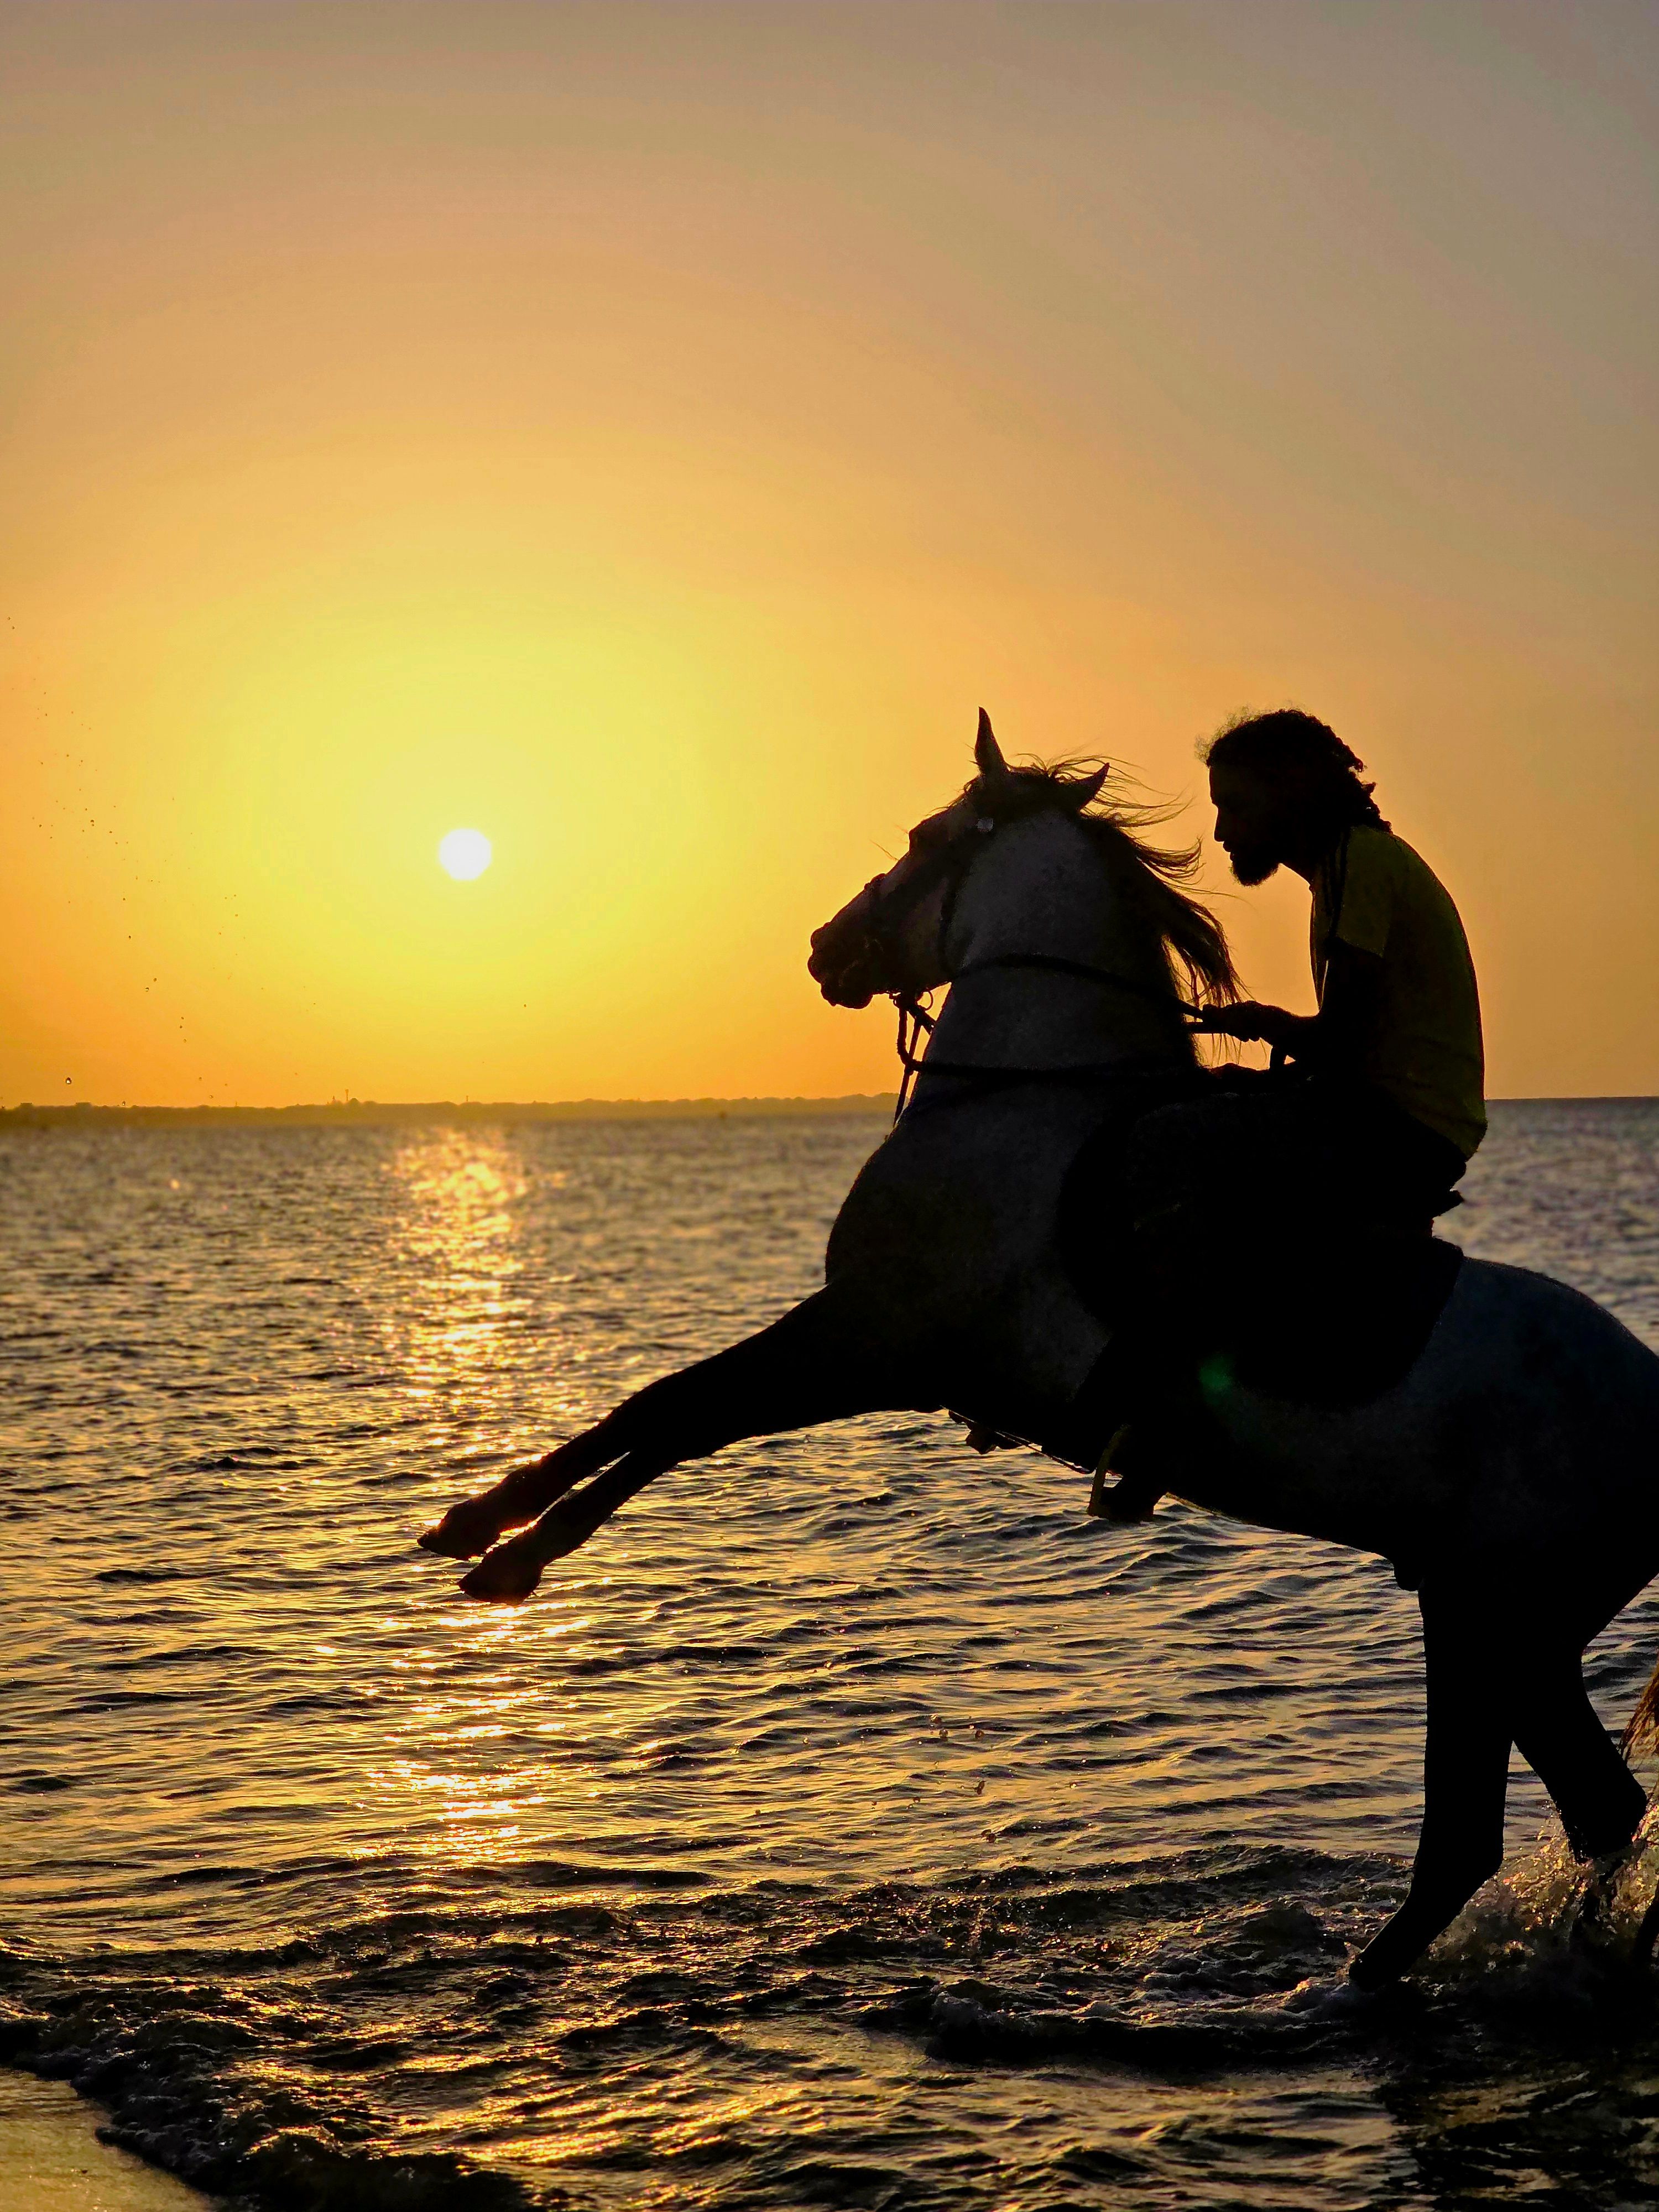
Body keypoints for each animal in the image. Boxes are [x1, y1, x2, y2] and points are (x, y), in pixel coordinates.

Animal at [419, 711, 1659, 1988]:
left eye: (923, 839)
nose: (824, 946)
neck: (1014, 1097)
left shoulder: (866, 1339)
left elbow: (673, 1411)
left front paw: (505, 1551)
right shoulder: (866, 1343)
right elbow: (658, 1413)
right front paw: (476, 1526)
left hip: (1493, 1615)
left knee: (1499, 1826)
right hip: (1503, 1621)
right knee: (1587, 1809)